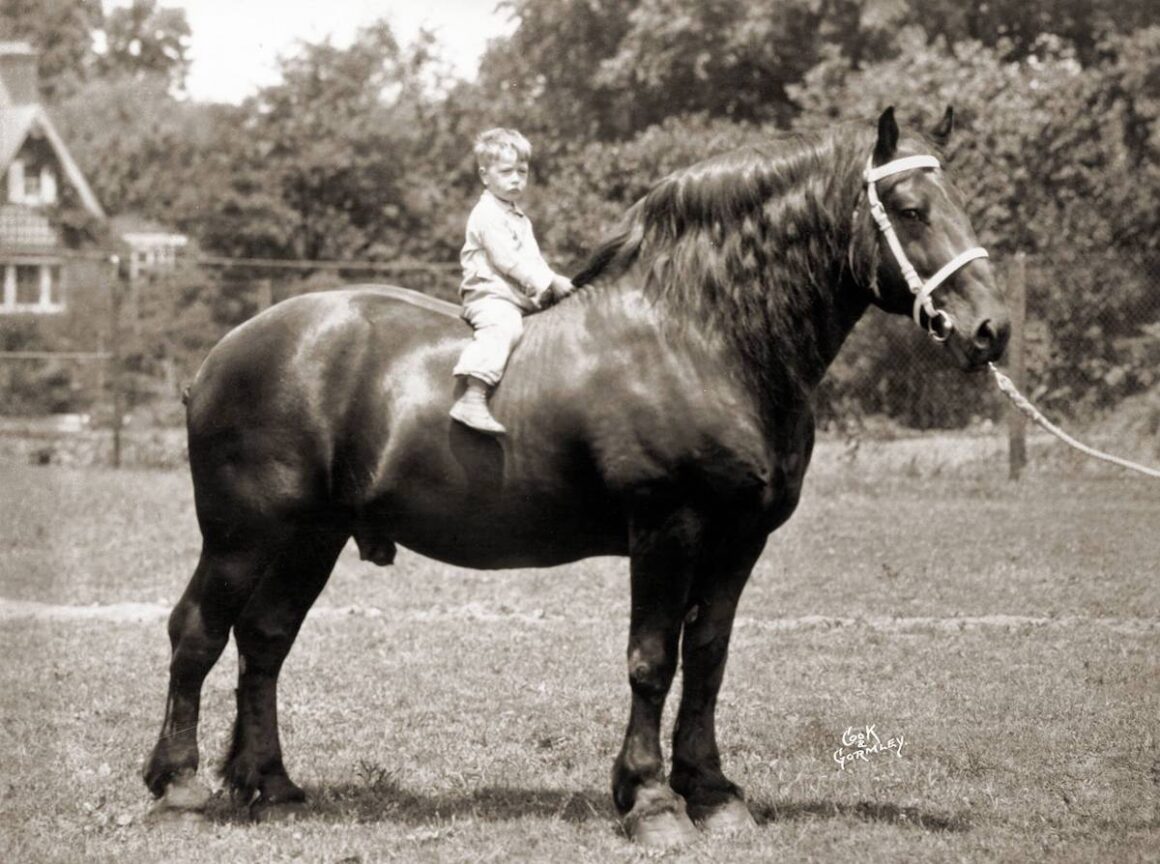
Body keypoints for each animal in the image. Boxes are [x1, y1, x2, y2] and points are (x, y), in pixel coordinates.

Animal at [147, 107, 1006, 844]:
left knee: (264, 641)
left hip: (311, 538)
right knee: (197, 633)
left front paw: (712, 794)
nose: (990, 331)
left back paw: (272, 786)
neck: (697, 337)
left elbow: (708, 659)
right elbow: (653, 661)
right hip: (241, 536)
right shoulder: (667, 530)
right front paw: (652, 801)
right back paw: (180, 785)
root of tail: (224, 354)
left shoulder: (738, 542)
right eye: (910, 206)